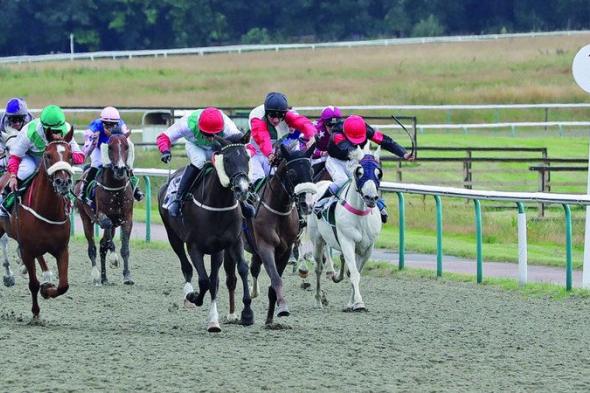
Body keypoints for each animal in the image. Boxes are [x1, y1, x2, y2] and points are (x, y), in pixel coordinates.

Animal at [0, 133, 75, 316]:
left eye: (70, 155)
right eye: (48, 155)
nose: (63, 182)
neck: (47, 210)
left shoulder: (62, 248)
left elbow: (64, 286)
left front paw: (47, 290)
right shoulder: (27, 249)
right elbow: (33, 284)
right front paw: (35, 312)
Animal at [74, 132, 135, 284]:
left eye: (126, 146)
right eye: (110, 147)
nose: (120, 169)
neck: (115, 189)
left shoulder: (127, 218)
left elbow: (124, 248)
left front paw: (127, 276)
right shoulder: (101, 215)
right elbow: (107, 231)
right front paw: (114, 258)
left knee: (102, 245)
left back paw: (104, 278)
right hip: (85, 219)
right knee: (92, 247)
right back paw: (96, 275)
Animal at [160, 136, 254, 332]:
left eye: (247, 158)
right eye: (227, 160)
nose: (242, 189)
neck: (218, 204)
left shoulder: (233, 242)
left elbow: (241, 269)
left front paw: (247, 313)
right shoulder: (194, 246)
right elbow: (203, 281)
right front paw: (194, 297)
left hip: (217, 251)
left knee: (214, 280)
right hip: (173, 236)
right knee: (187, 267)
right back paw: (188, 294)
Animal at [308, 145, 386, 310]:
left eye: (379, 173)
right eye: (359, 172)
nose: (371, 197)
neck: (361, 215)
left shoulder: (368, 248)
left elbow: (356, 272)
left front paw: (352, 303)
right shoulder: (347, 241)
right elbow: (355, 273)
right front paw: (359, 303)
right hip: (317, 239)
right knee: (318, 268)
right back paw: (318, 299)